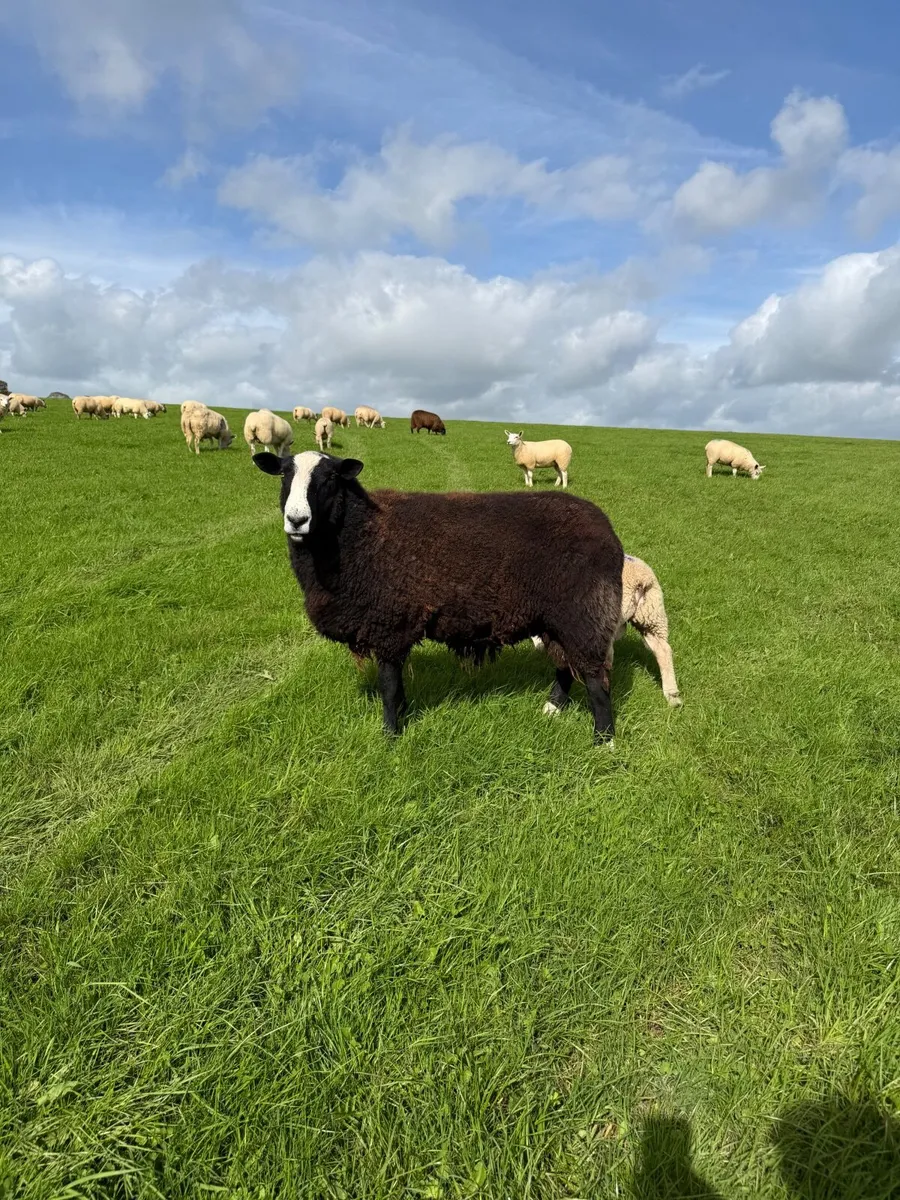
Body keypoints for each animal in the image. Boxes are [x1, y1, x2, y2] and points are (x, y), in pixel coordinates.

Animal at [253, 451, 624, 744]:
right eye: (284, 473)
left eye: (330, 477)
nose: (296, 520)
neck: (360, 534)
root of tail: (605, 526)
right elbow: (397, 686)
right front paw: (402, 717)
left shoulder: (388, 622)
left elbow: (388, 686)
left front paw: (390, 736)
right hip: (553, 617)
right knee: (565, 665)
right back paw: (552, 708)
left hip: (584, 612)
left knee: (595, 678)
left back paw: (603, 740)